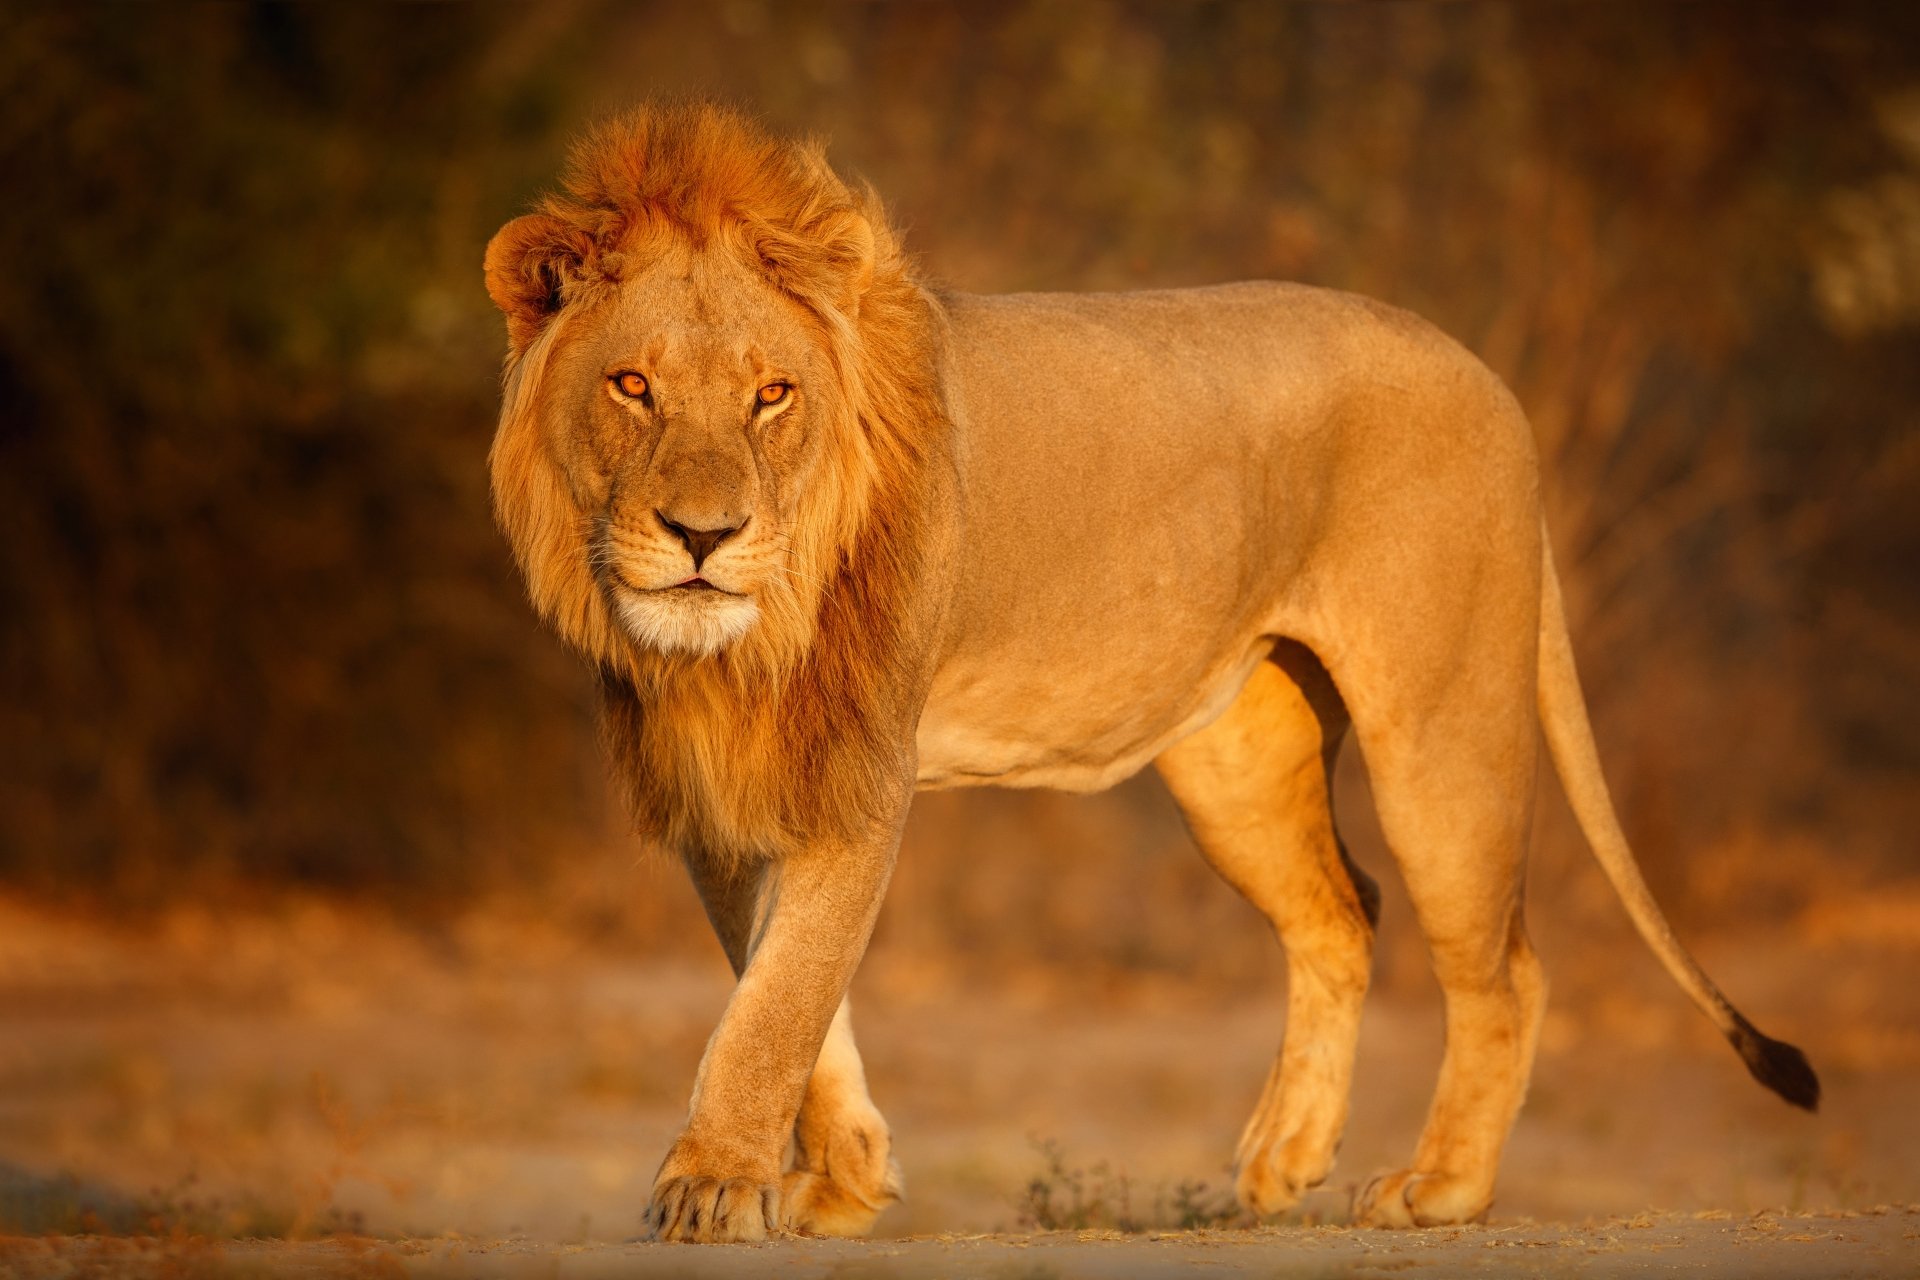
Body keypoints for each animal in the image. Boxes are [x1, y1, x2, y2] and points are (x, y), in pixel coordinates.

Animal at [481, 104, 1818, 1243]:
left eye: (772, 394)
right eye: (633, 385)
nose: (703, 536)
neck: (738, 649)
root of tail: (1489, 377)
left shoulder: (861, 767)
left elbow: (778, 999)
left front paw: (716, 1183)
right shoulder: (716, 786)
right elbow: (782, 991)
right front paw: (845, 1178)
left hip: (1443, 723)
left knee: (1504, 962)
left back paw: (1440, 1184)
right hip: (1238, 759)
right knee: (1344, 910)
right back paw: (1284, 1155)